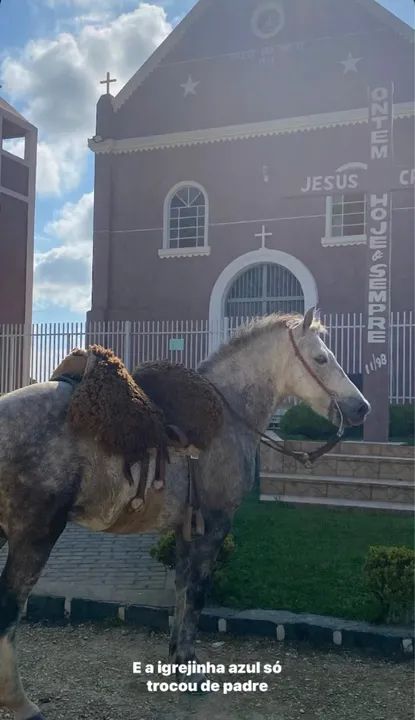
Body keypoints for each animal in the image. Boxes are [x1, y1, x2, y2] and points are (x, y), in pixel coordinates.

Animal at [0, 309, 370, 719]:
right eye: (321, 358)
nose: (361, 407)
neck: (228, 412)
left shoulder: (183, 528)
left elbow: (180, 588)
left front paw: (176, 658)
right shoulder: (214, 525)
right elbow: (196, 593)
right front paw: (191, 670)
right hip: (35, 535)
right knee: (9, 609)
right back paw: (21, 703)